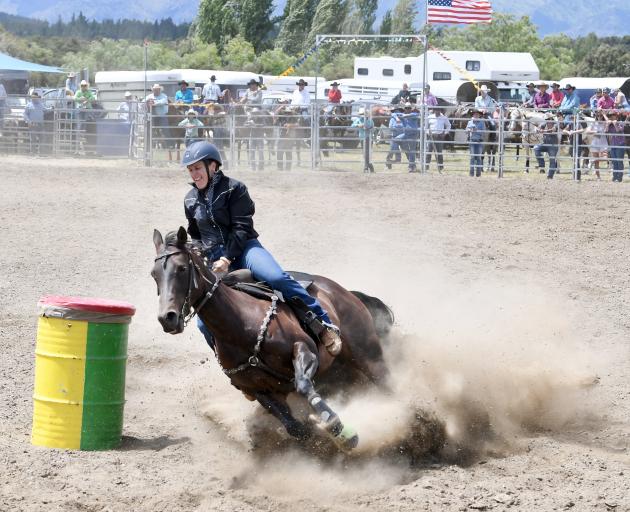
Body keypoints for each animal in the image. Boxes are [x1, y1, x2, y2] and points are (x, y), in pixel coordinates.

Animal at [152, 229, 390, 452]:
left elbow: (304, 386)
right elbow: (294, 428)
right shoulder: (259, 390)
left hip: (368, 355)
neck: (241, 325)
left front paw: (342, 432)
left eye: (182, 268)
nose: (167, 318)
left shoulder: (305, 349)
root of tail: (344, 292)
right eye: (154, 274)